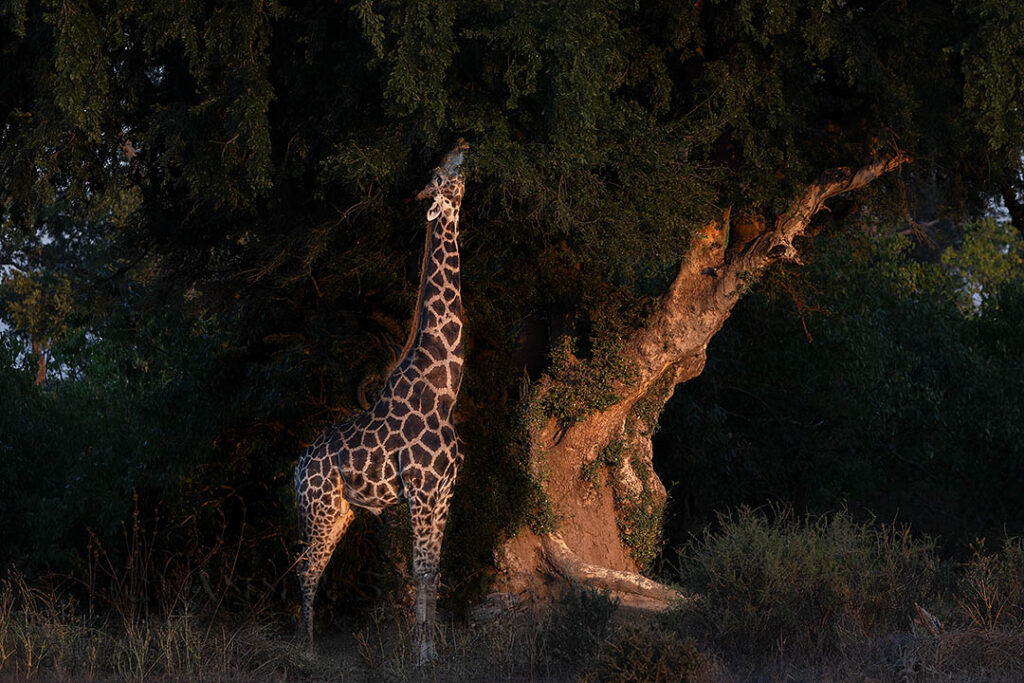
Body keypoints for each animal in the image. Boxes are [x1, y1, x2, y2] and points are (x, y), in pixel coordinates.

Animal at [294, 141, 468, 663]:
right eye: (440, 174)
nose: (462, 148)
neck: (444, 387)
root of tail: (296, 468)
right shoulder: (422, 489)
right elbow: (420, 570)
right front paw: (421, 655)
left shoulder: (446, 489)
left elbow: (433, 571)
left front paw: (433, 652)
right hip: (319, 509)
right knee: (306, 566)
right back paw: (304, 652)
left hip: (341, 512)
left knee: (311, 565)